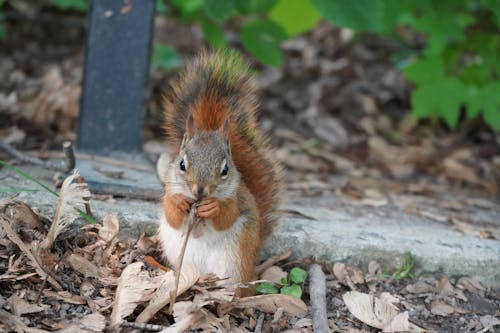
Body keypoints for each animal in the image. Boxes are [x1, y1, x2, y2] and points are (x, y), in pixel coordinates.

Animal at [158, 50, 284, 296]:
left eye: (225, 170)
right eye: (182, 164)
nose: (200, 191)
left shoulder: (238, 198)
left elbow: (227, 216)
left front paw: (213, 208)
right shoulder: (169, 189)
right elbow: (171, 215)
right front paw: (179, 203)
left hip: (235, 258)